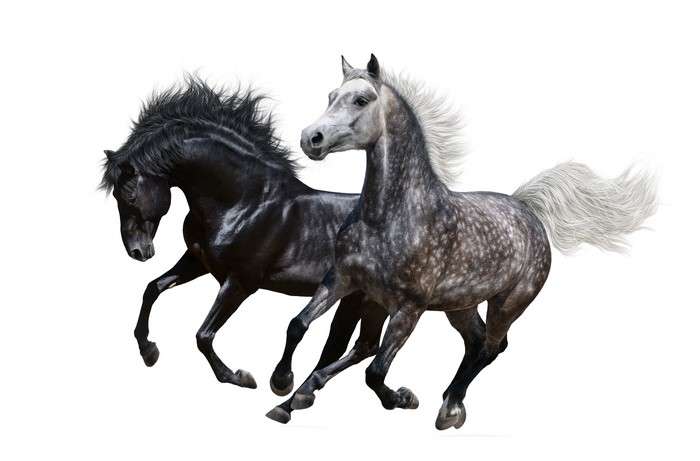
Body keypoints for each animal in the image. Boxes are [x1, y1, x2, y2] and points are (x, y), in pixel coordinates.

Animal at [100, 77, 388, 397]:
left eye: (130, 197)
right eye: (116, 197)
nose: (138, 252)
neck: (245, 202)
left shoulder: (241, 281)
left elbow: (203, 335)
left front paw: (240, 377)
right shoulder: (199, 262)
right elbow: (153, 288)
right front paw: (148, 351)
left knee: (361, 346)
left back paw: (288, 382)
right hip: (356, 298)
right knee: (354, 346)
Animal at [266, 55, 658, 429]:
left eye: (361, 100)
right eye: (331, 96)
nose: (311, 138)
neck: (389, 216)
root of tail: (527, 209)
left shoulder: (408, 308)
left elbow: (375, 372)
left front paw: (404, 398)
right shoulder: (343, 280)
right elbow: (298, 325)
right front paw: (284, 387)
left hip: (508, 304)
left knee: (491, 347)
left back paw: (449, 408)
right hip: (460, 306)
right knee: (470, 343)